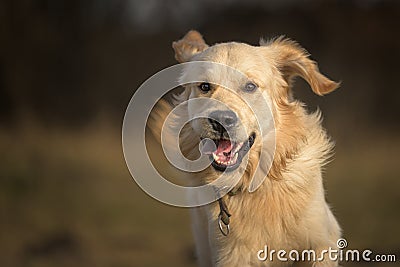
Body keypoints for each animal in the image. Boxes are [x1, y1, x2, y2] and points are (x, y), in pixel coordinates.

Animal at [147, 30, 340, 266]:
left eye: (250, 86)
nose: (221, 120)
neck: (256, 183)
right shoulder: (231, 256)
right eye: (205, 86)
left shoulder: (322, 243)